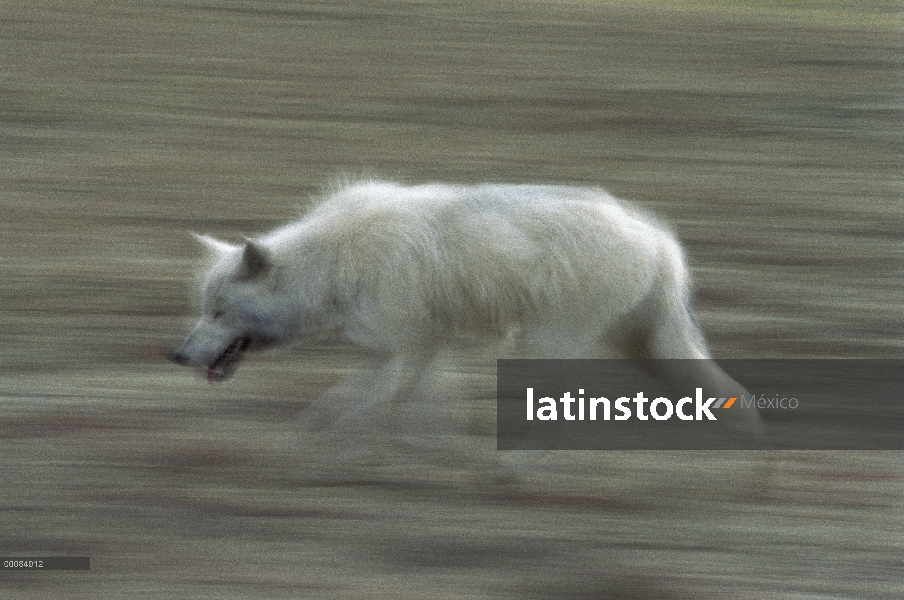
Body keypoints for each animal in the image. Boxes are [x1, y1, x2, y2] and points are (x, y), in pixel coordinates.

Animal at [171, 180, 764, 438]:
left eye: (219, 312)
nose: (176, 355)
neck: (335, 261)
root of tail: (657, 237)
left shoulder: (404, 347)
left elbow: (369, 405)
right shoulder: (415, 347)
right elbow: (396, 405)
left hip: (551, 346)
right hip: (643, 347)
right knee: (723, 392)